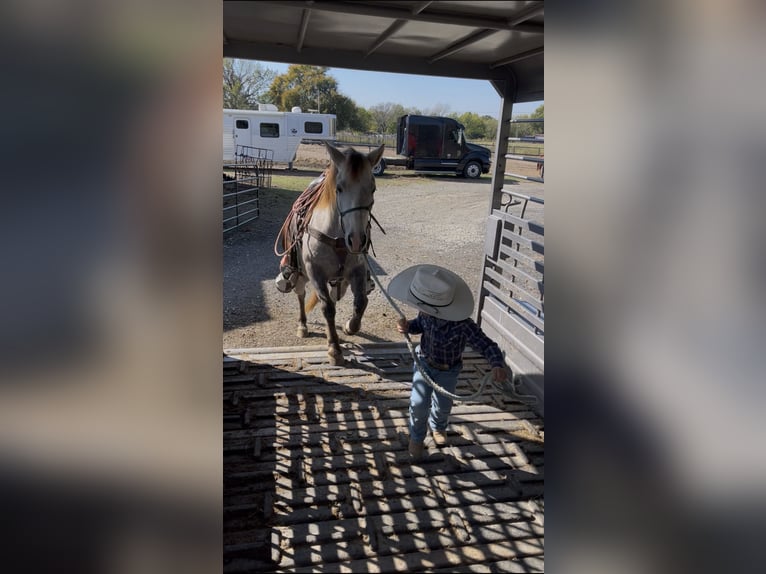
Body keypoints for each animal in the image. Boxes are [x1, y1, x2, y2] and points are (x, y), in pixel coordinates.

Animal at [278, 142, 385, 365]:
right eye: (339, 188)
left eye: (372, 188)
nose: (356, 240)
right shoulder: (315, 272)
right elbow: (327, 308)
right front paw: (334, 349)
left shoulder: (357, 270)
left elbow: (360, 302)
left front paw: (349, 327)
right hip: (300, 274)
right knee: (301, 295)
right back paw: (303, 326)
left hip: (339, 282)